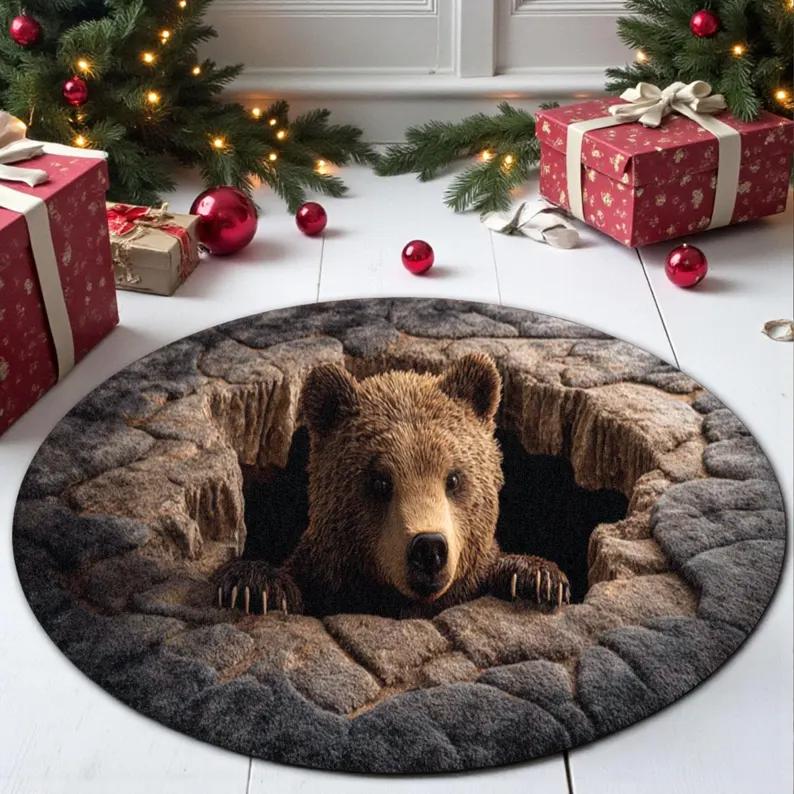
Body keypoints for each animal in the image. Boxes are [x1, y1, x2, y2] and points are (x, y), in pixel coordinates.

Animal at [213, 353, 570, 618]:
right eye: (380, 482)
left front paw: (537, 579)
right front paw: (254, 587)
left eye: (453, 478)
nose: (429, 548)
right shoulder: (324, 579)